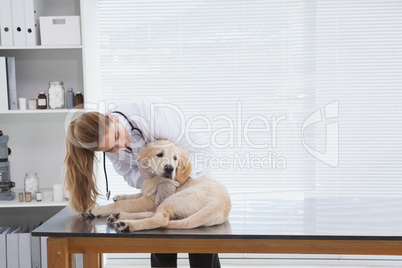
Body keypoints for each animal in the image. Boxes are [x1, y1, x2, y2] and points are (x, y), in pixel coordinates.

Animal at [87, 140, 232, 232]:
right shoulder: (147, 194)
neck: (155, 176)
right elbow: (135, 194)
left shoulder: (147, 200)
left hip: (173, 199)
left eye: (175, 158)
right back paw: (119, 216)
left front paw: (97, 209)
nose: (169, 168)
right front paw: (120, 196)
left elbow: (121, 204)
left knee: (160, 220)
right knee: (155, 214)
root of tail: (219, 205)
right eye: (159, 155)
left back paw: (126, 224)